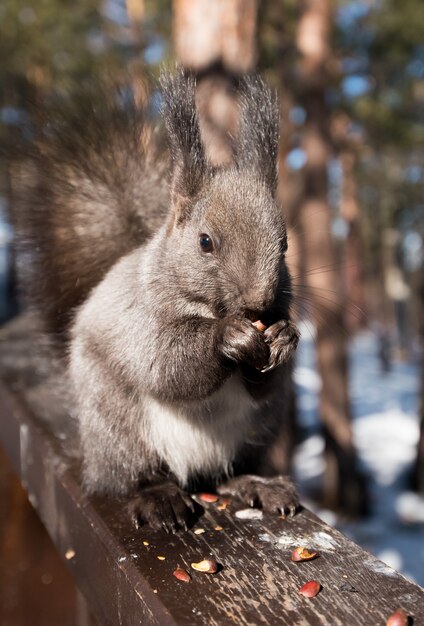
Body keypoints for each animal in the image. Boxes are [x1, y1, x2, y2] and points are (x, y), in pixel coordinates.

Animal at [10, 69, 302, 532]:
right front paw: (228, 337)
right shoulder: (139, 320)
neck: (206, 308)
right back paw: (160, 498)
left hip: (259, 429)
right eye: (205, 242)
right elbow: (165, 365)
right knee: (136, 475)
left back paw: (257, 483)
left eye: (285, 245)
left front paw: (285, 338)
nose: (258, 306)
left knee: (228, 472)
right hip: (120, 431)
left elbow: (262, 384)